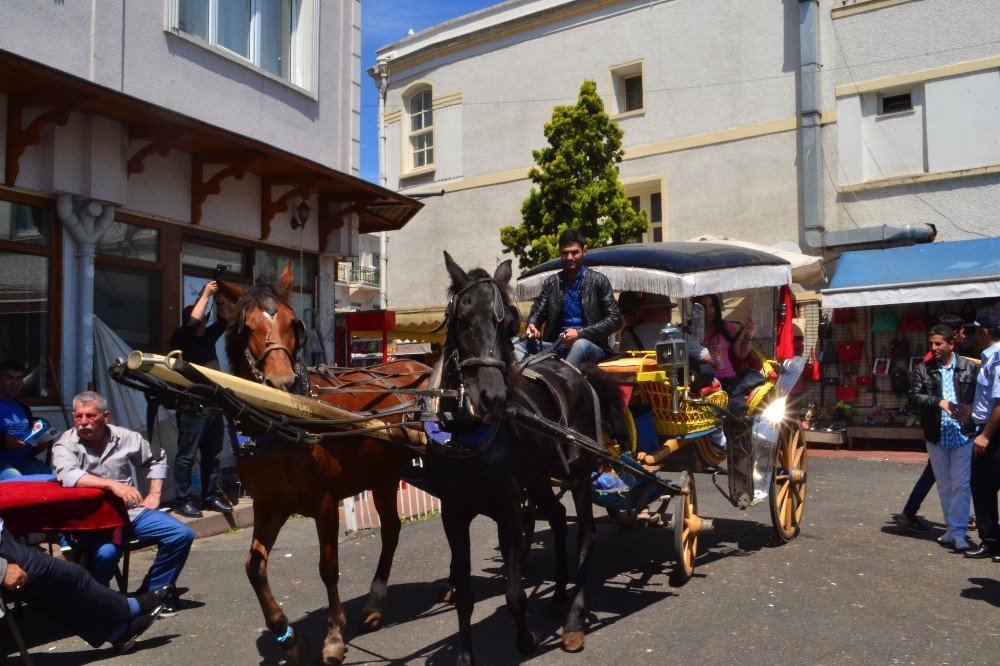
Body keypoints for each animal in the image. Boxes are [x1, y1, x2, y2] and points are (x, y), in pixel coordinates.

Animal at [219, 266, 430, 664]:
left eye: (293, 322)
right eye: (247, 327)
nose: (283, 383)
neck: (282, 422)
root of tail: (418, 364)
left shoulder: (325, 503)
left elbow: (328, 569)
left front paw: (333, 637)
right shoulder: (269, 505)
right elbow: (254, 568)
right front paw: (286, 636)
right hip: (384, 475)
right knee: (392, 529)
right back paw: (375, 604)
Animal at [428, 252, 624, 660]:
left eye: (507, 323)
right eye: (462, 319)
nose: (491, 397)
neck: (465, 434)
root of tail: (575, 371)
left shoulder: (507, 507)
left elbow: (515, 591)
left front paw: (525, 639)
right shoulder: (453, 512)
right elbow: (465, 596)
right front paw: (465, 655)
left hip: (578, 473)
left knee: (586, 534)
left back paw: (573, 620)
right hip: (538, 478)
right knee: (558, 515)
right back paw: (559, 594)